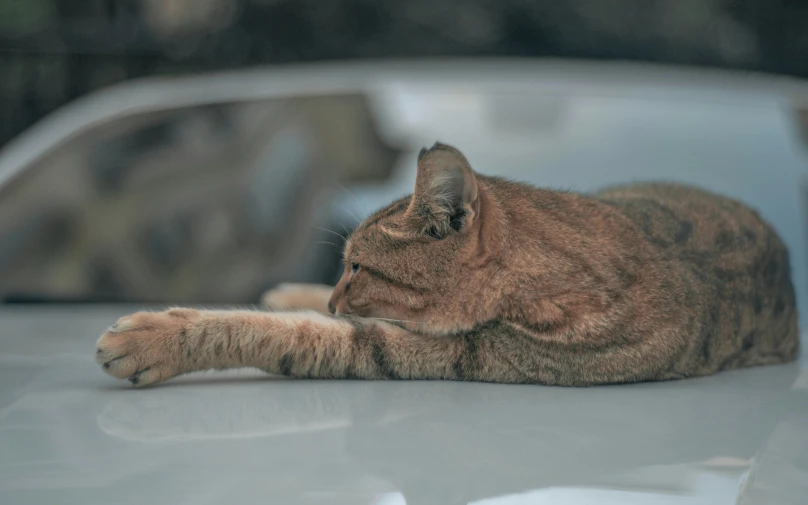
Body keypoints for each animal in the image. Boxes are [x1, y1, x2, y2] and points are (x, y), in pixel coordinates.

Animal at [96, 142, 800, 386]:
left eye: (358, 268)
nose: (336, 295)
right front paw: (298, 297)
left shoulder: (439, 351)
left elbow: (286, 337)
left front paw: (157, 338)